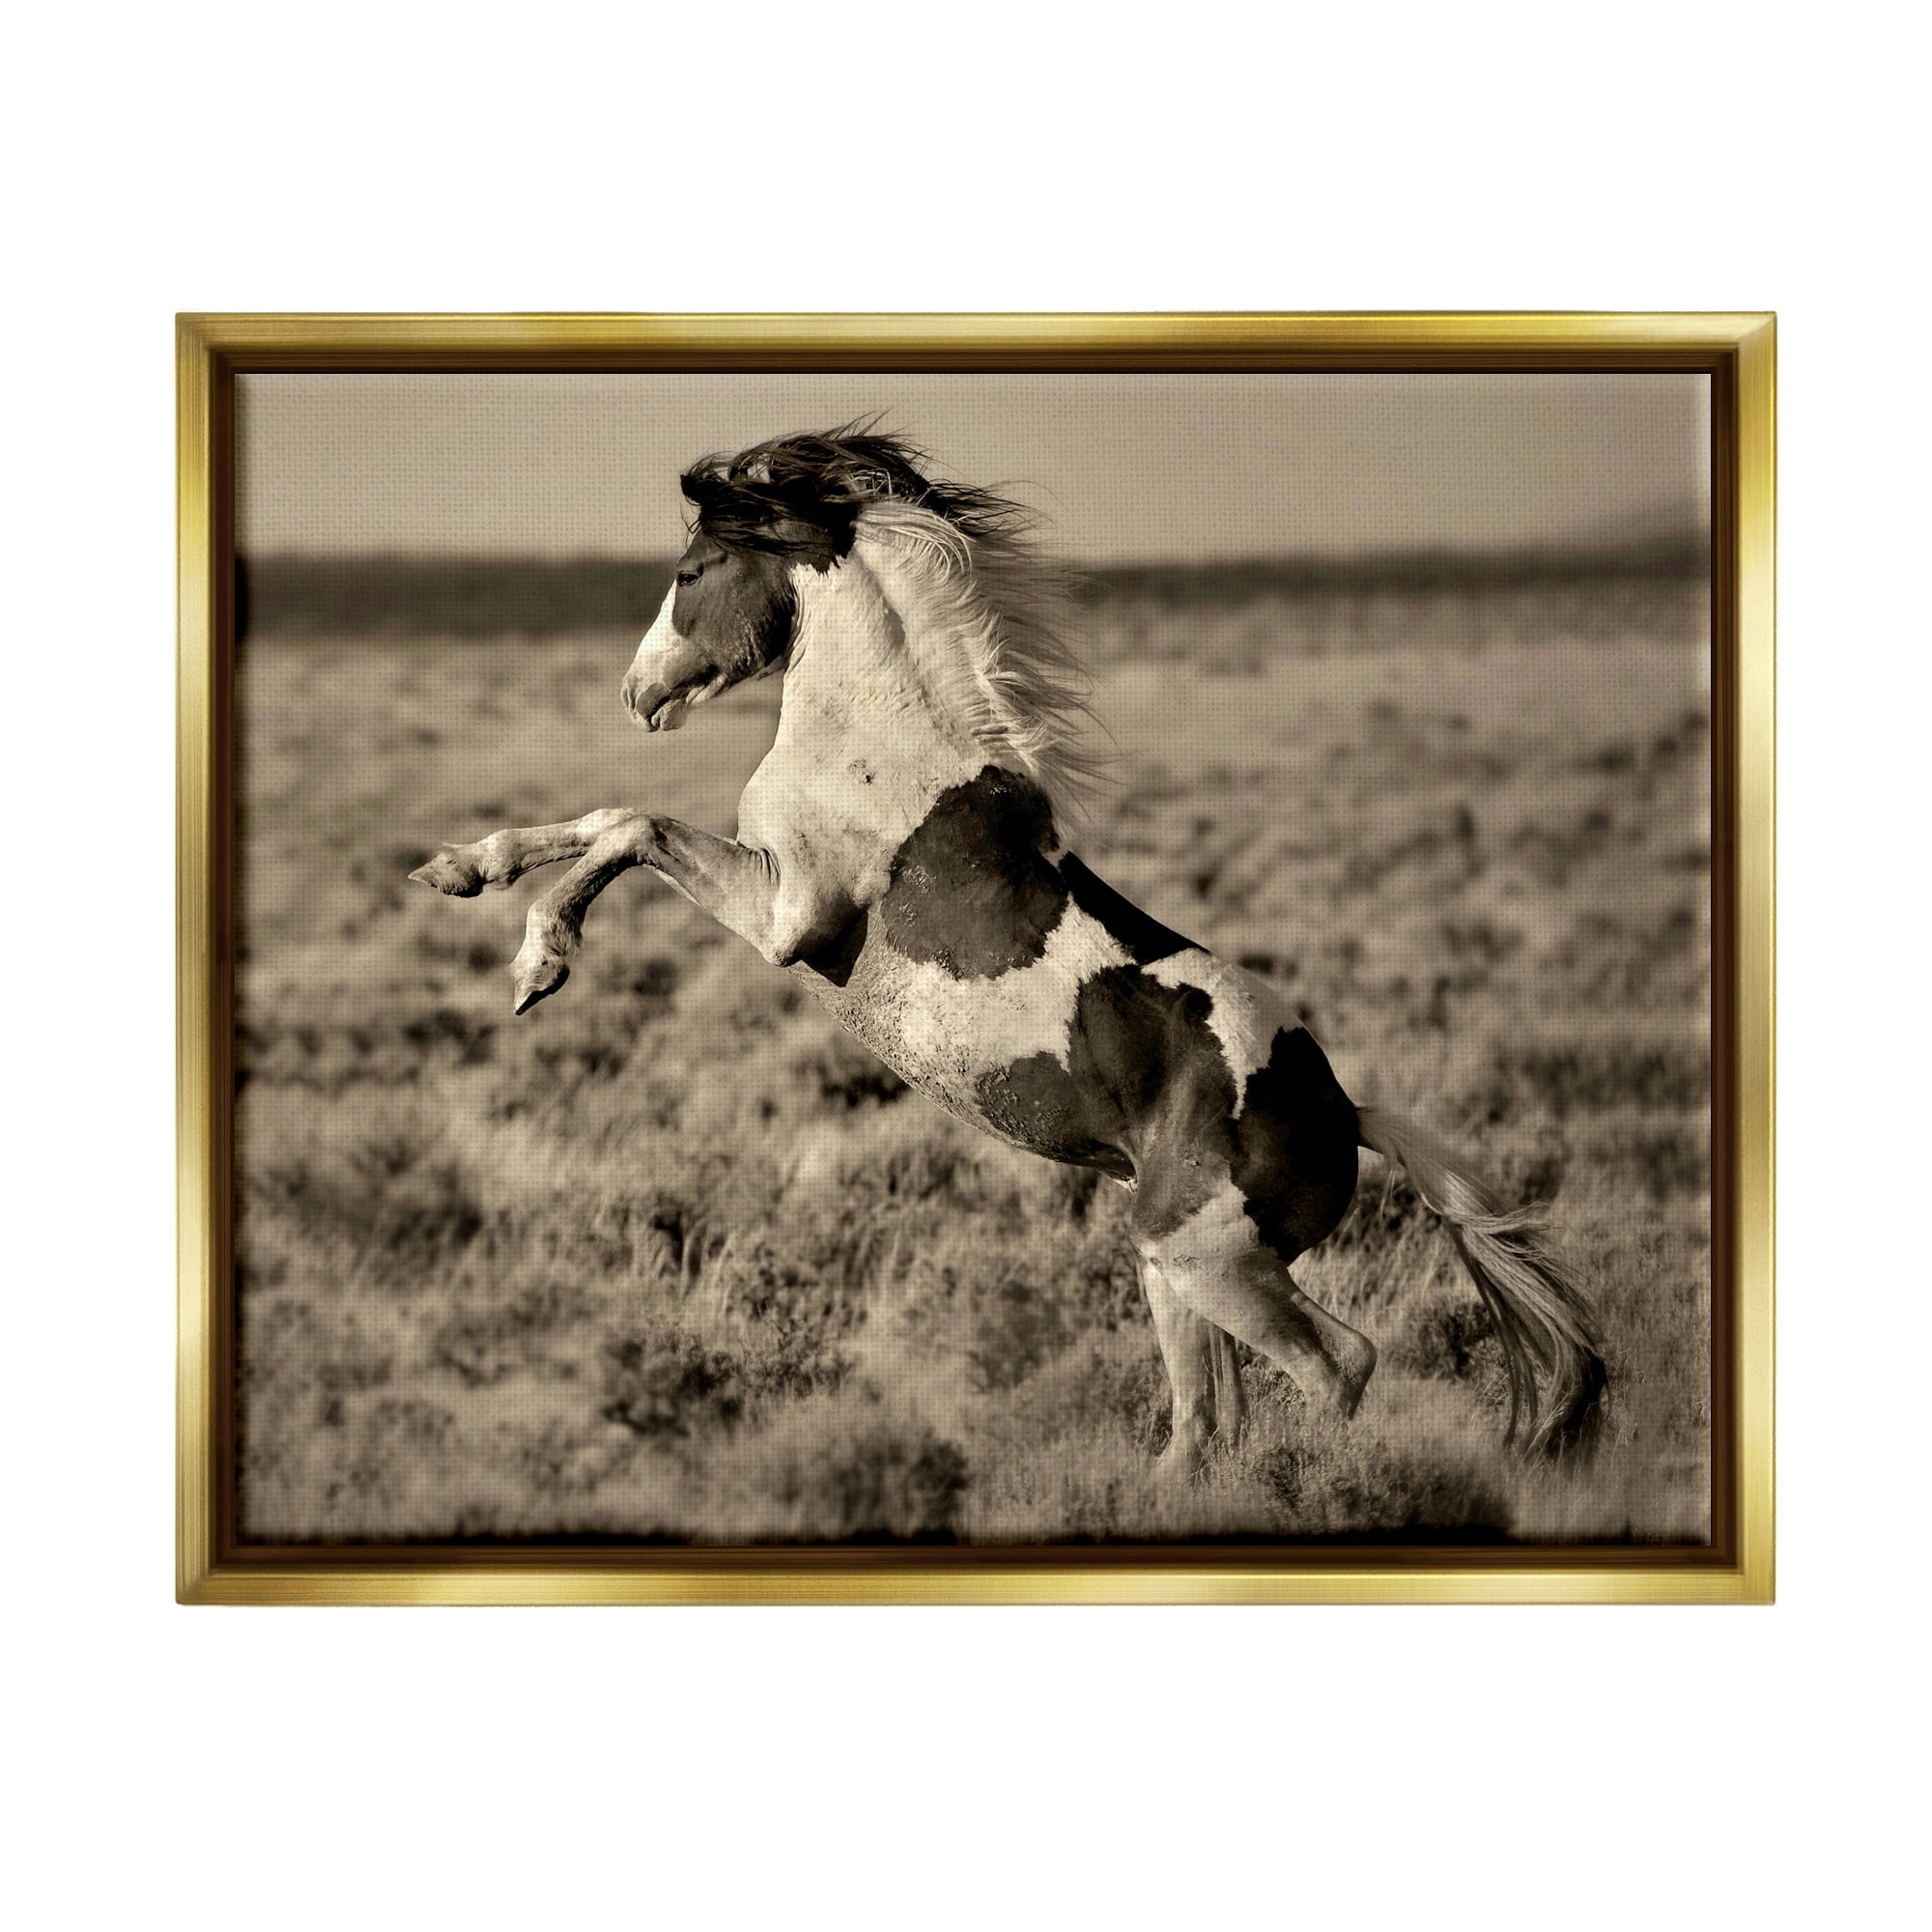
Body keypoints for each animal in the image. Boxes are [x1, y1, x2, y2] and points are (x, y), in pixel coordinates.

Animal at [410, 426, 1608, 1474]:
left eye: (693, 566)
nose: (639, 692)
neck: (879, 738)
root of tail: (1344, 1111)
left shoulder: (785, 913)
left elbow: (629, 825)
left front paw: (538, 962)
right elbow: (600, 819)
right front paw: (459, 868)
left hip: (1211, 1260)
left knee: (1339, 1366)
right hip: (1168, 1268)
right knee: (1202, 1425)